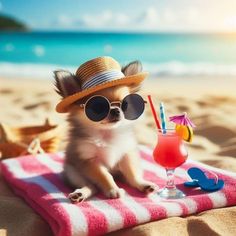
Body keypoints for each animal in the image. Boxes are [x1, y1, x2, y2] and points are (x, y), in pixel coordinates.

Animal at [54, 56, 156, 202]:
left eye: (125, 104)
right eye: (98, 107)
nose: (115, 110)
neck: (107, 133)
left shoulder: (126, 154)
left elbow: (132, 173)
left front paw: (140, 183)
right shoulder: (90, 160)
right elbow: (105, 176)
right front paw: (113, 190)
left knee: (132, 177)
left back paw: (144, 185)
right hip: (72, 172)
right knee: (91, 186)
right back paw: (80, 193)